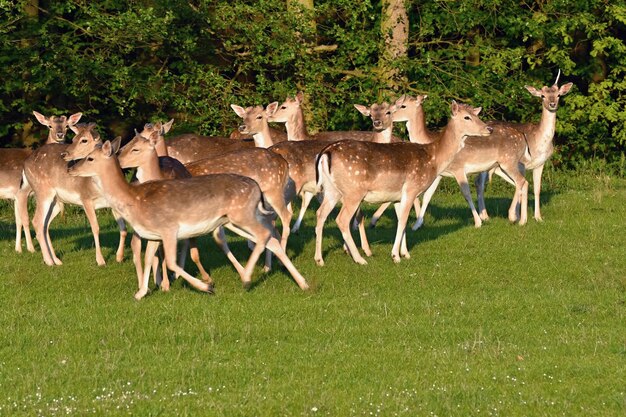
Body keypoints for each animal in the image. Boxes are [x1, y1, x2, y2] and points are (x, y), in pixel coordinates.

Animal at [67, 138, 308, 298]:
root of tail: (256, 188)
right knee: (270, 238)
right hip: (237, 218)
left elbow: (172, 262)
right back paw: (303, 283)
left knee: (267, 233)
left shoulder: (168, 228)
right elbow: (149, 258)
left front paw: (206, 286)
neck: (133, 198)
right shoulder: (153, 234)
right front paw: (141, 292)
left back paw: (248, 278)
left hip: (242, 214)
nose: (70, 169)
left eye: (90, 158)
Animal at [314, 101, 490, 264]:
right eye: (467, 117)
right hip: (353, 191)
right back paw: (360, 259)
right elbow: (404, 220)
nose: (489, 128)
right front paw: (395, 256)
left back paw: (319, 259)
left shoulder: (398, 196)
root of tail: (326, 152)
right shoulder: (412, 189)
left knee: (320, 213)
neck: (433, 158)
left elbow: (401, 221)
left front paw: (405, 253)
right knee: (341, 219)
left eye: (476, 115)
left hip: (331, 190)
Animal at [390, 94, 528, 229]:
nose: (390, 115)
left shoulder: (458, 168)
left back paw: (514, 217)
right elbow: (428, 196)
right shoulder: (440, 174)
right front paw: (417, 225)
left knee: (521, 181)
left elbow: (466, 193)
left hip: (508, 161)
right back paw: (520, 218)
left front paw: (478, 222)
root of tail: (523, 138)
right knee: (522, 183)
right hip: (500, 166)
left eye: (403, 105)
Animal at [476, 71, 572, 221]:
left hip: (495, 165)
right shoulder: (521, 162)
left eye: (558, 95)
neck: (539, 142)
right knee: (479, 183)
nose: (552, 104)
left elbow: (537, 188)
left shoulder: (540, 163)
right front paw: (516, 215)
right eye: (542, 96)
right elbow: (522, 183)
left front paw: (537, 217)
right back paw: (484, 216)